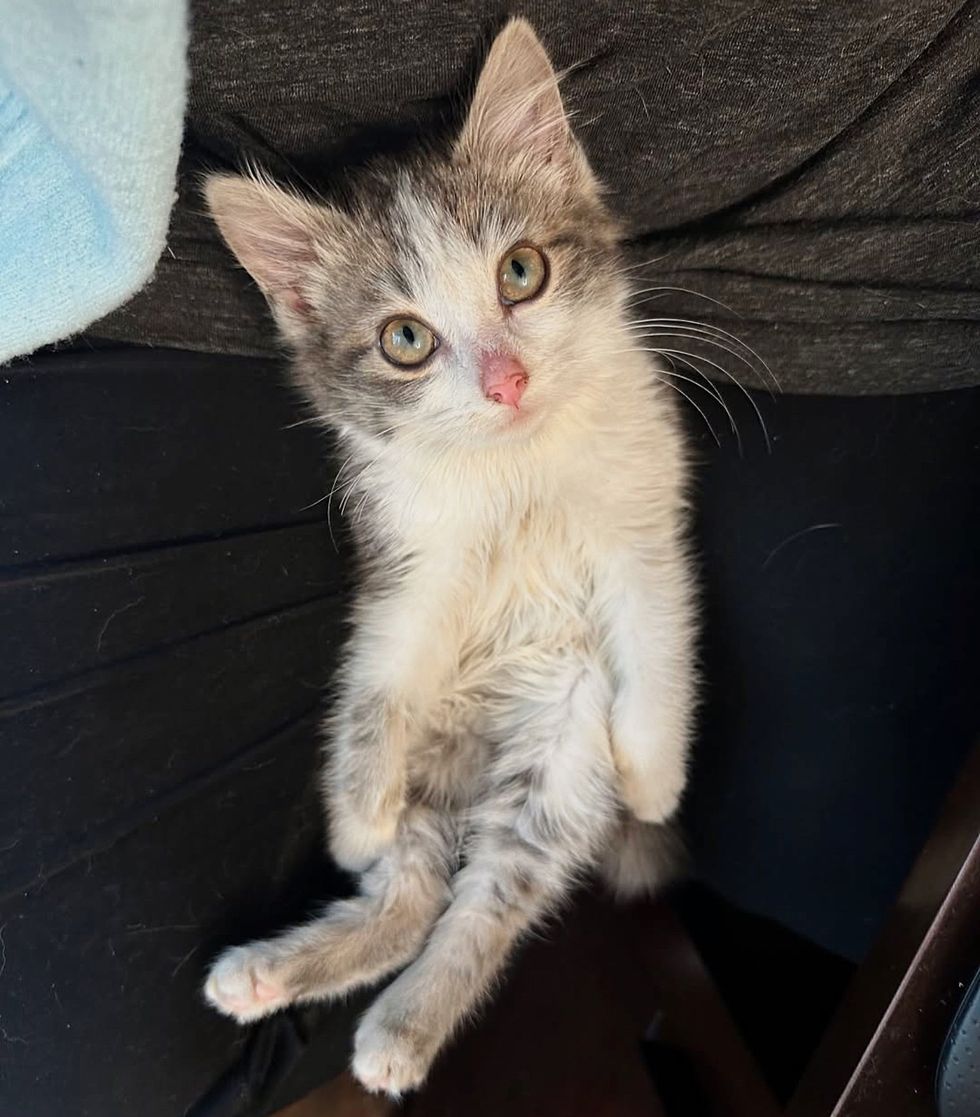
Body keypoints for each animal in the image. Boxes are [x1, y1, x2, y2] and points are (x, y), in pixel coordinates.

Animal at [198, 17, 692, 1094]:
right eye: (405, 339)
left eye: (521, 273)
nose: (505, 380)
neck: (514, 465)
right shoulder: (404, 564)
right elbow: (377, 671)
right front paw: (353, 816)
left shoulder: (646, 518)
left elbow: (659, 640)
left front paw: (654, 774)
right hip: (439, 756)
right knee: (411, 890)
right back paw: (274, 968)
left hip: (560, 751)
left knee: (490, 898)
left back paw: (401, 1027)